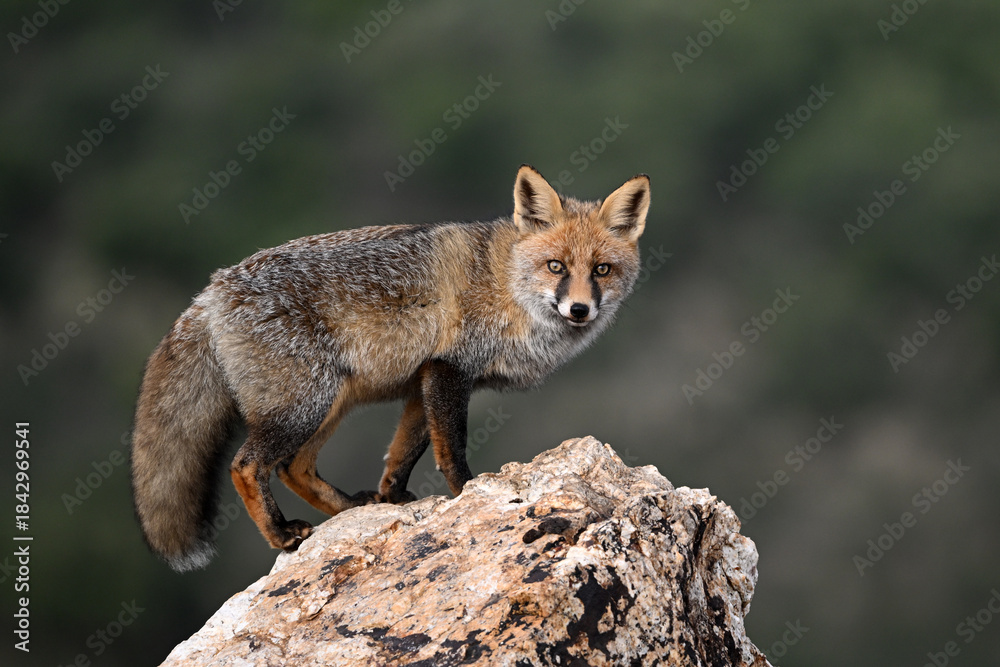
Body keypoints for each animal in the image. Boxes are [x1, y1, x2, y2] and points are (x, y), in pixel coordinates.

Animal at [130, 165, 650, 571]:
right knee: (247, 465)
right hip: (304, 405)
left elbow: (401, 455)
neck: (505, 284)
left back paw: (349, 510)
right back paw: (281, 534)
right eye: (556, 266)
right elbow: (450, 450)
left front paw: (392, 503)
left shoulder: (423, 380)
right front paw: (469, 492)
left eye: (601, 270)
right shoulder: (450, 368)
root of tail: (211, 290)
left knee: (294, 467)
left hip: (329, 403)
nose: (580, 309)